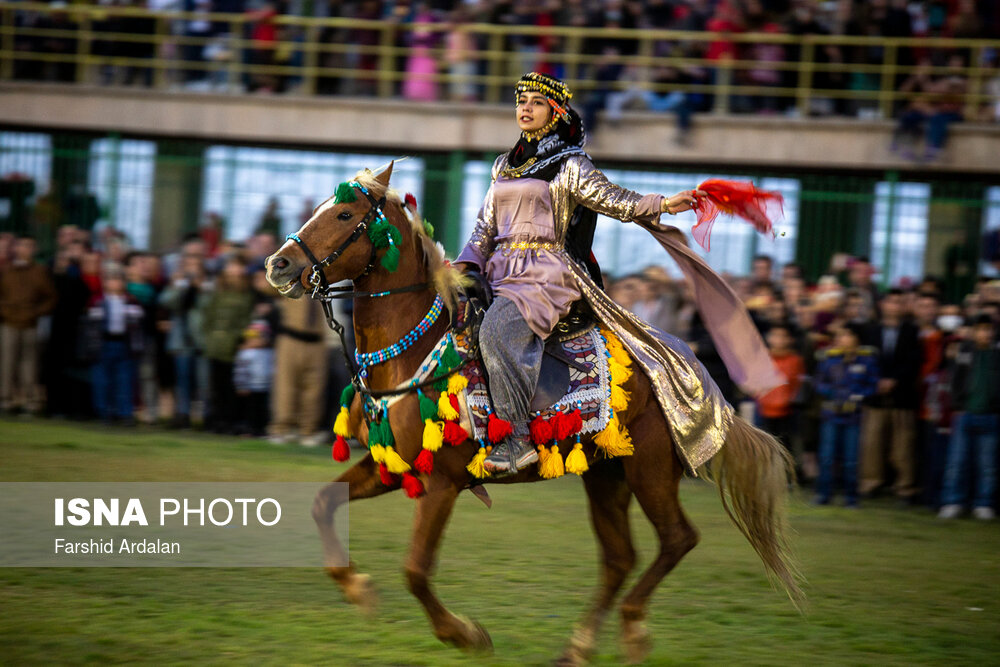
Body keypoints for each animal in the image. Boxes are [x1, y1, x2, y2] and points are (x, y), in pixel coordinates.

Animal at [264, 164, 796, 664]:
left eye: (344, 214)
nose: (277, 263)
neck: (411, 353)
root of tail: (683, 362)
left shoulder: (442, 482)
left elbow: (415, 571)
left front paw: (465, 635)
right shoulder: (392, 465)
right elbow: (323, 504)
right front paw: (359, 589)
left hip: (650, 469)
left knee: (677, 539)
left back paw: (631, 629)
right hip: (607, 474)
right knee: (620, 557)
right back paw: (579, 647)